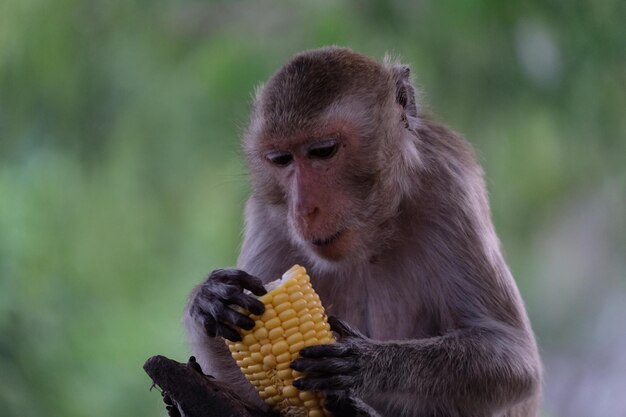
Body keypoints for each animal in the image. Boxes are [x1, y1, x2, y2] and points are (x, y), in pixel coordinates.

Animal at [182, 46, 540, 416]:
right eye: (281, 159)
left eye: (323, 151)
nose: (303, 209)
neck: (373, 234)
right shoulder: (268, 217)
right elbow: (249, 393)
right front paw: (211, 299)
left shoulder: (450, 187)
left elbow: (514, 356)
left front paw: (369, 363)